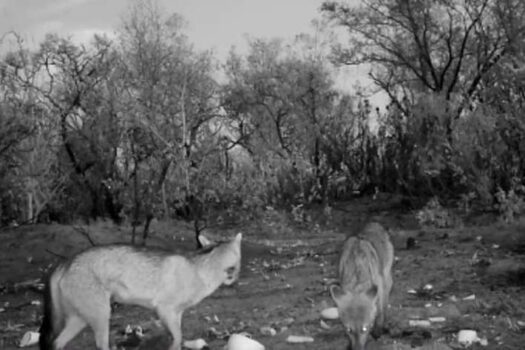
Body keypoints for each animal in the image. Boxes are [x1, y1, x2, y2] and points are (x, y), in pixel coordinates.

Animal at [40, 232, 243, 350]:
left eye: (237, 260)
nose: (234, 276)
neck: (200, 270)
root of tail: (65, 261)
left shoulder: (176, 314)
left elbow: (178, 339)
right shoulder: (165, 310)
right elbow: (177, 339)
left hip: (81, 320)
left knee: (56, 343)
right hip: (102, 316)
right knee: (100, 345)